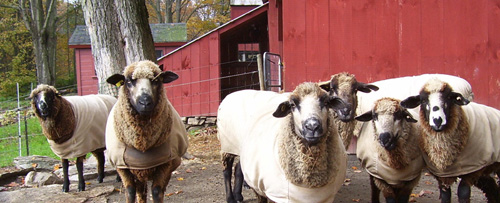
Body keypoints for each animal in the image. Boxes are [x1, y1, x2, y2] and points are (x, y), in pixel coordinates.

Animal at [104, 60, 188, 203]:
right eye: (128, 81)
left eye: (156, 80)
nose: (145, 102)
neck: (142, 143)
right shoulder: (122, 167)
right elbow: (130, 192)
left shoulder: (165, 164)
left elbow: (157, 192)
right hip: (138, 172)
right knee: (140, 192)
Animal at [217, 82, 350, 201]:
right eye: (292, 105)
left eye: (326, 102)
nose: (312, 126)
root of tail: (233, 93)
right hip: (227, 145)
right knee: (227, 171)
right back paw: (230, 198)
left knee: (238, 169)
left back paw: (238, 195)